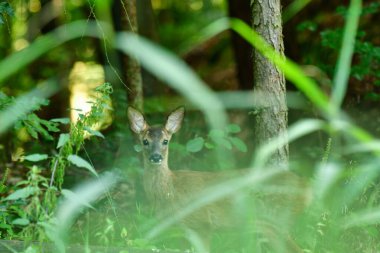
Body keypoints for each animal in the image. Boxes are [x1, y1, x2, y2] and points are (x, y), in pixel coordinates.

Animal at [127, 106, 312, 253]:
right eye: (145, 141)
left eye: (165, 141)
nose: (156, 157)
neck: (170, 192)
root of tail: (306, 188)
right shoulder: (182, 230)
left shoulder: (202, 224)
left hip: (279, 219)